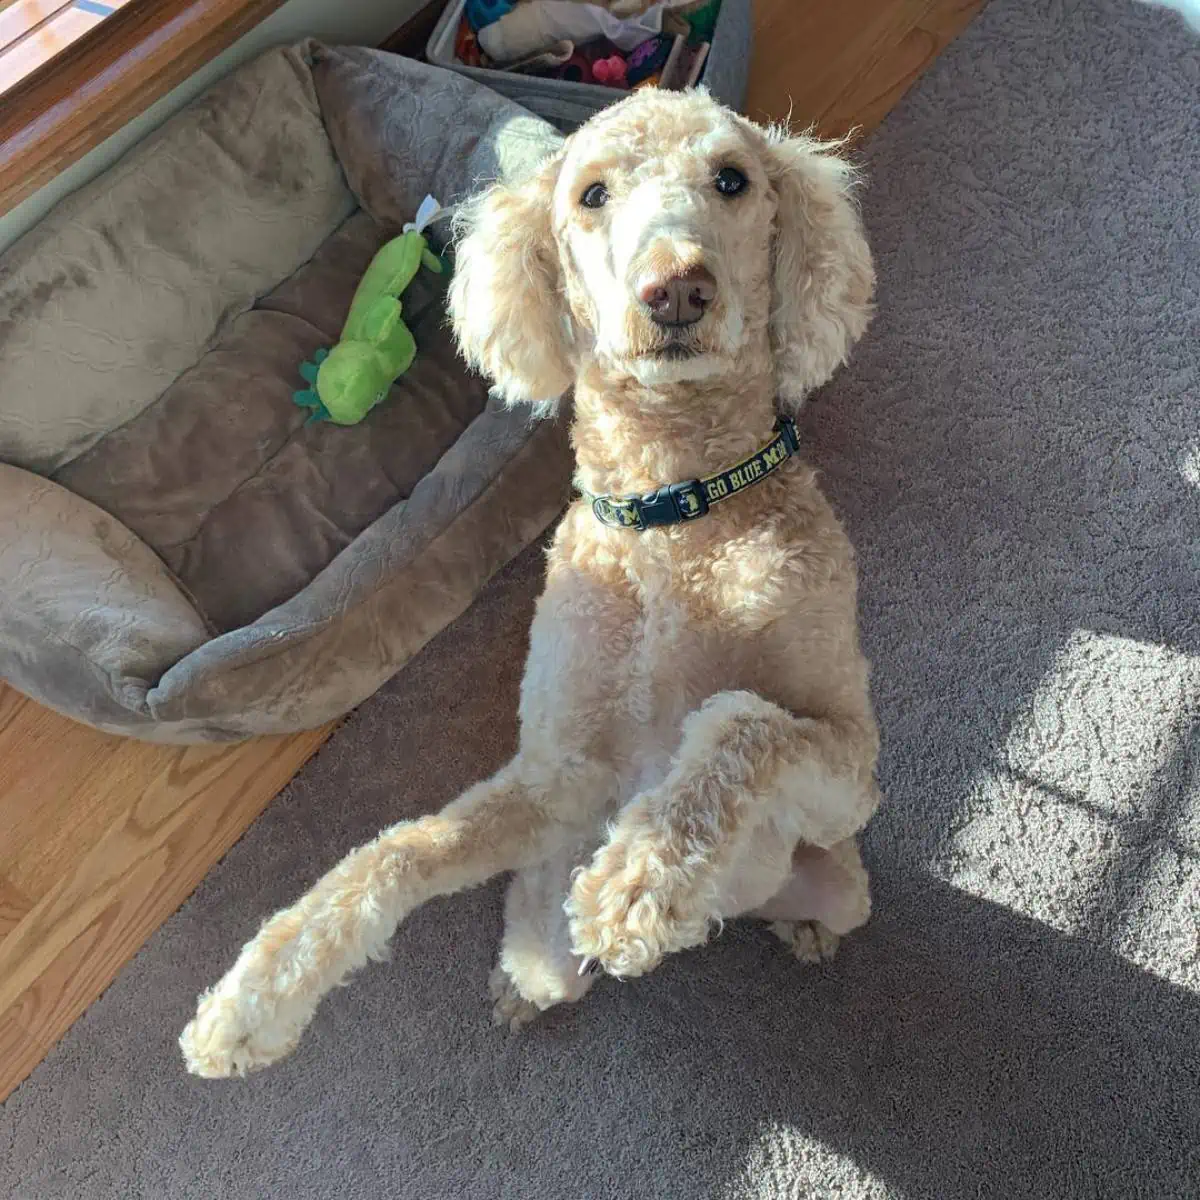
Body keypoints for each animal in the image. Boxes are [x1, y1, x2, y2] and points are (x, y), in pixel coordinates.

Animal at [184, 87, 883, 1080]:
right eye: (591, 194)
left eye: (732, 179)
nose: (677, 287)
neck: (672, 513)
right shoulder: (558, 778)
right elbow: (400, 848)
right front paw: (256, 995)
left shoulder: (851, 757)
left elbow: (740, 724)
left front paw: (635, 887)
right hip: (552, 891)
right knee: (537, 943)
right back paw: (523, 985)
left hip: (839, 869)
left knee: (810, 876)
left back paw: (790, 930)